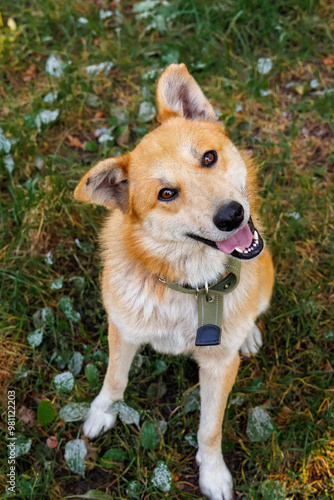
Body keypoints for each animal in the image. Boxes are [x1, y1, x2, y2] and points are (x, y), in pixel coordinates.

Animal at [73, 64, 274, 498]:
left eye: (209, 157)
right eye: (166, 194)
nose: (232, 215)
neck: (194, 288)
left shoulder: (219, 366)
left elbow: (210, 430)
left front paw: (212, 474)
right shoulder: (123, 330)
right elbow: (115, 378)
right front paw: (101, 412)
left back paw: (249, 334)